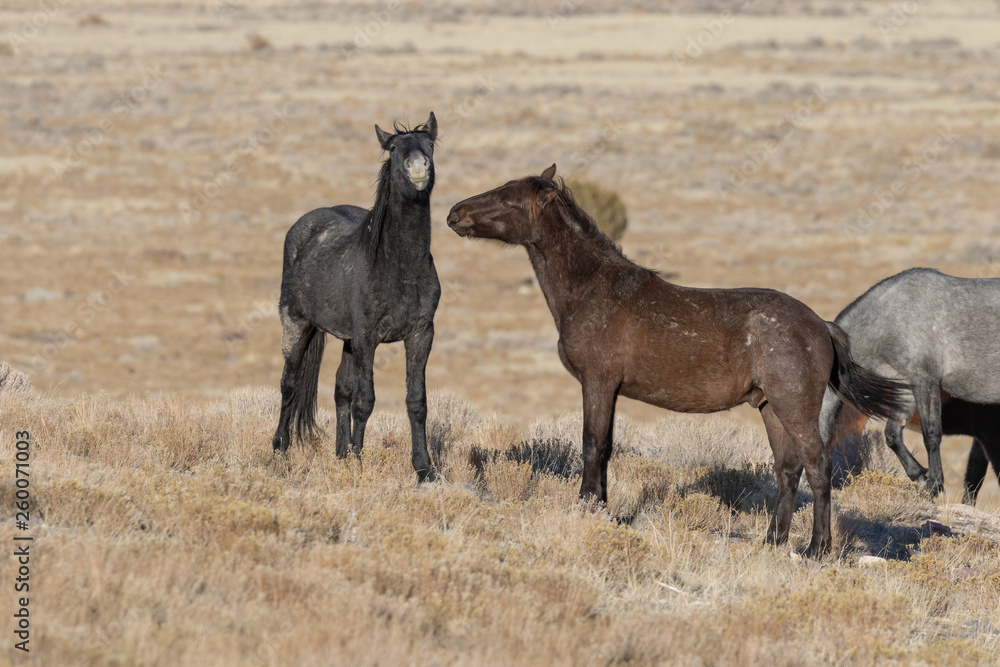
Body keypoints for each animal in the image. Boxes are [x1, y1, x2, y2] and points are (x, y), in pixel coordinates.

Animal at [272, 112, 441, 482]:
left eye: (430, 144)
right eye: (394, 148)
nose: (418, 168)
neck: (398, 265)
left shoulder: (421, 335)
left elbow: (416, 402)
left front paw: (424, 469)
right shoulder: (367, 338)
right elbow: (366, 401)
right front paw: (359, 463)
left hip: (347, 341)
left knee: (340, 391)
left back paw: (340, 452)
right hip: (297, 325)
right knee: (289, 384)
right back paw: (279, 450)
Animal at [446, 164, 909, 557]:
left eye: (508, 200)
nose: (453, 214)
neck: (593, 289)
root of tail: (822, 325)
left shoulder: (598, 382)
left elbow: (593, 445)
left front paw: (588, 507)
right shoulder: (609, 389)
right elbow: (606, 448)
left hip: (794, 407)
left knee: (817, 467)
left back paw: (817, 548)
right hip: (771, 408)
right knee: (787, 469)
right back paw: (772, 542)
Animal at [818, 268, 1000, 498]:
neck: (890, 319)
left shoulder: (925, 380)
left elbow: (931, 434)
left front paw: (935, 484)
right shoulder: (904, 386)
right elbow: (892, 435)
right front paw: (921, 476)